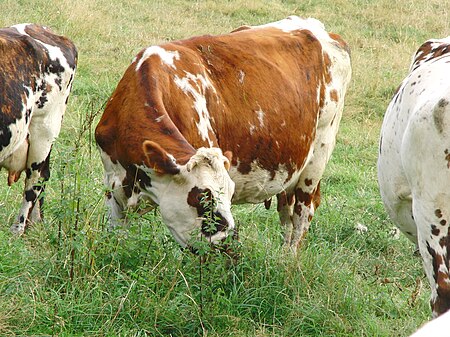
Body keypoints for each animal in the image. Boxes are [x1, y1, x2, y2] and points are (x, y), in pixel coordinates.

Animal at [96, 17, 352, 251]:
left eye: (229, 194)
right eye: (202, 199)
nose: (230, 242)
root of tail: (319, 28)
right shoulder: (114, 190)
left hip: (317, 159)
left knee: (302, 214)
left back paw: (289, 261)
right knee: (287, 214)